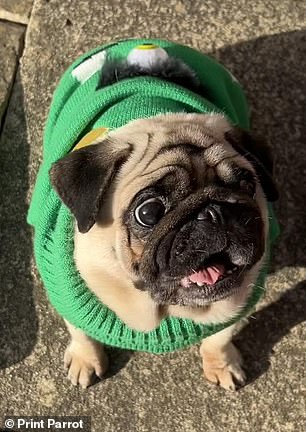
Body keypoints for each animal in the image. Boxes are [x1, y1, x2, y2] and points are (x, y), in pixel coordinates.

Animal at [50, 109, 278, 390]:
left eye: (247, 186)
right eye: (148, 212)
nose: (215, 213)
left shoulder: (238, 305)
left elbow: (221, 337)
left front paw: (221, 364)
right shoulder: (68, 298)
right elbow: (80, 331)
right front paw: (85, 359)